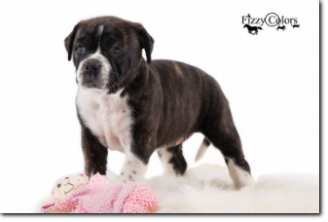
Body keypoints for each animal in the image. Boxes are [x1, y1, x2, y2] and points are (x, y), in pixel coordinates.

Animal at [63, 16, 254, 188]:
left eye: (116, 49)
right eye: (79, 48)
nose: (90, 65)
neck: (108, 97)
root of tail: (211, 78)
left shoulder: (139, 141)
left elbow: (129, 173)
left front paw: (120, 191)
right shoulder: (91, 139)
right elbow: (94, 169)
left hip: (221, 128)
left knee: (237, 160)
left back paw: (246, 188)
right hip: (170, 139)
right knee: (178, 162)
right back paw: (169, 183)